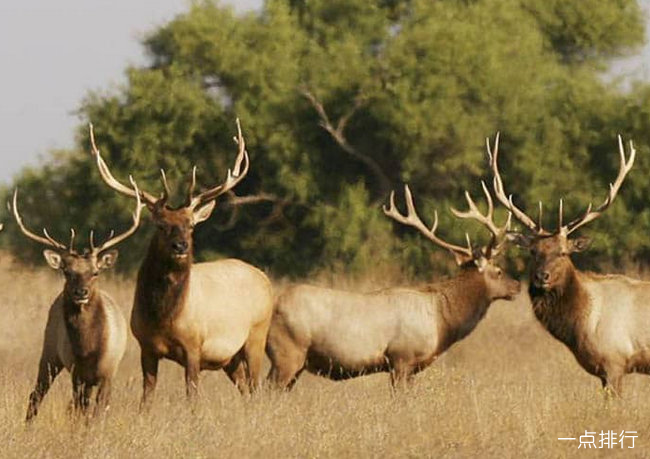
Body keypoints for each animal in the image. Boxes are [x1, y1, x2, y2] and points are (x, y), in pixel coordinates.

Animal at [15, 179, 142, 420]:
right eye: (67, 271)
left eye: (95, 272)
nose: (80, 292)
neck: (89, 350)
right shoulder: (77, 372)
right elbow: (80, 410)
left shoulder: (108, 371)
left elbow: (98, 411)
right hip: (50, 351)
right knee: (37, 394)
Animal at [88, 119, 270, 406]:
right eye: (161, 225)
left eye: (191, 225)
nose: (181, 246)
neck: (164, 317)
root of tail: (266, 279)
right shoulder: (146, 346)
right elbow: (147, 397)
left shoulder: (194, 345)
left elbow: (192, 396)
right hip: (230, 357)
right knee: (245, 387)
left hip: (256, 335)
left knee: (256, 384)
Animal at [266, 181, 520, 390]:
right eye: (498, 271)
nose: (517, 286)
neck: (442, 321)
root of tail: (271, 305)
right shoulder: (402, 358)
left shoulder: (411, 367)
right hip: (287, 353)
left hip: (296, 363)